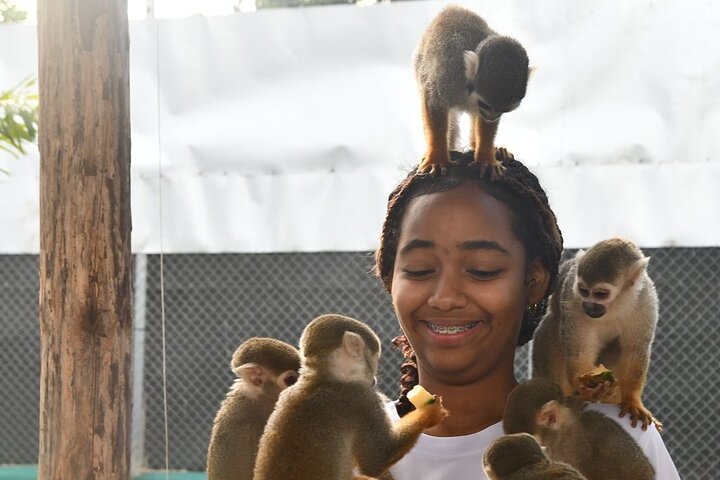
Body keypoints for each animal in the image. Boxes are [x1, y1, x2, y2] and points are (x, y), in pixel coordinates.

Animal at [253, 314, 448, 480]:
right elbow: (376, 460)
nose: (373, 380)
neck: (321, 379)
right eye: (374, 359)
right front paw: (430, 411)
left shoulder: (286, 393)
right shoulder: (361, 397)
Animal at [413, 5, 531, 177]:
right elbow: (434, 101)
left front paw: (486, 158)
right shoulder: (451, 76)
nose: (491, 117)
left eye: (502, 110)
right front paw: (437, 158)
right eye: (485, 105)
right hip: (419, 65)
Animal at [532, 237, 662, 429]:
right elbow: (580, 351)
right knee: (553, 327)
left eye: (600, 294)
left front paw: (632, 401)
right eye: (584, 291)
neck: (615, 305)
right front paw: (587, 389)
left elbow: (635, 351)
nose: (589, 306)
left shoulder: (646, 300)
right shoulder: (572, 298)